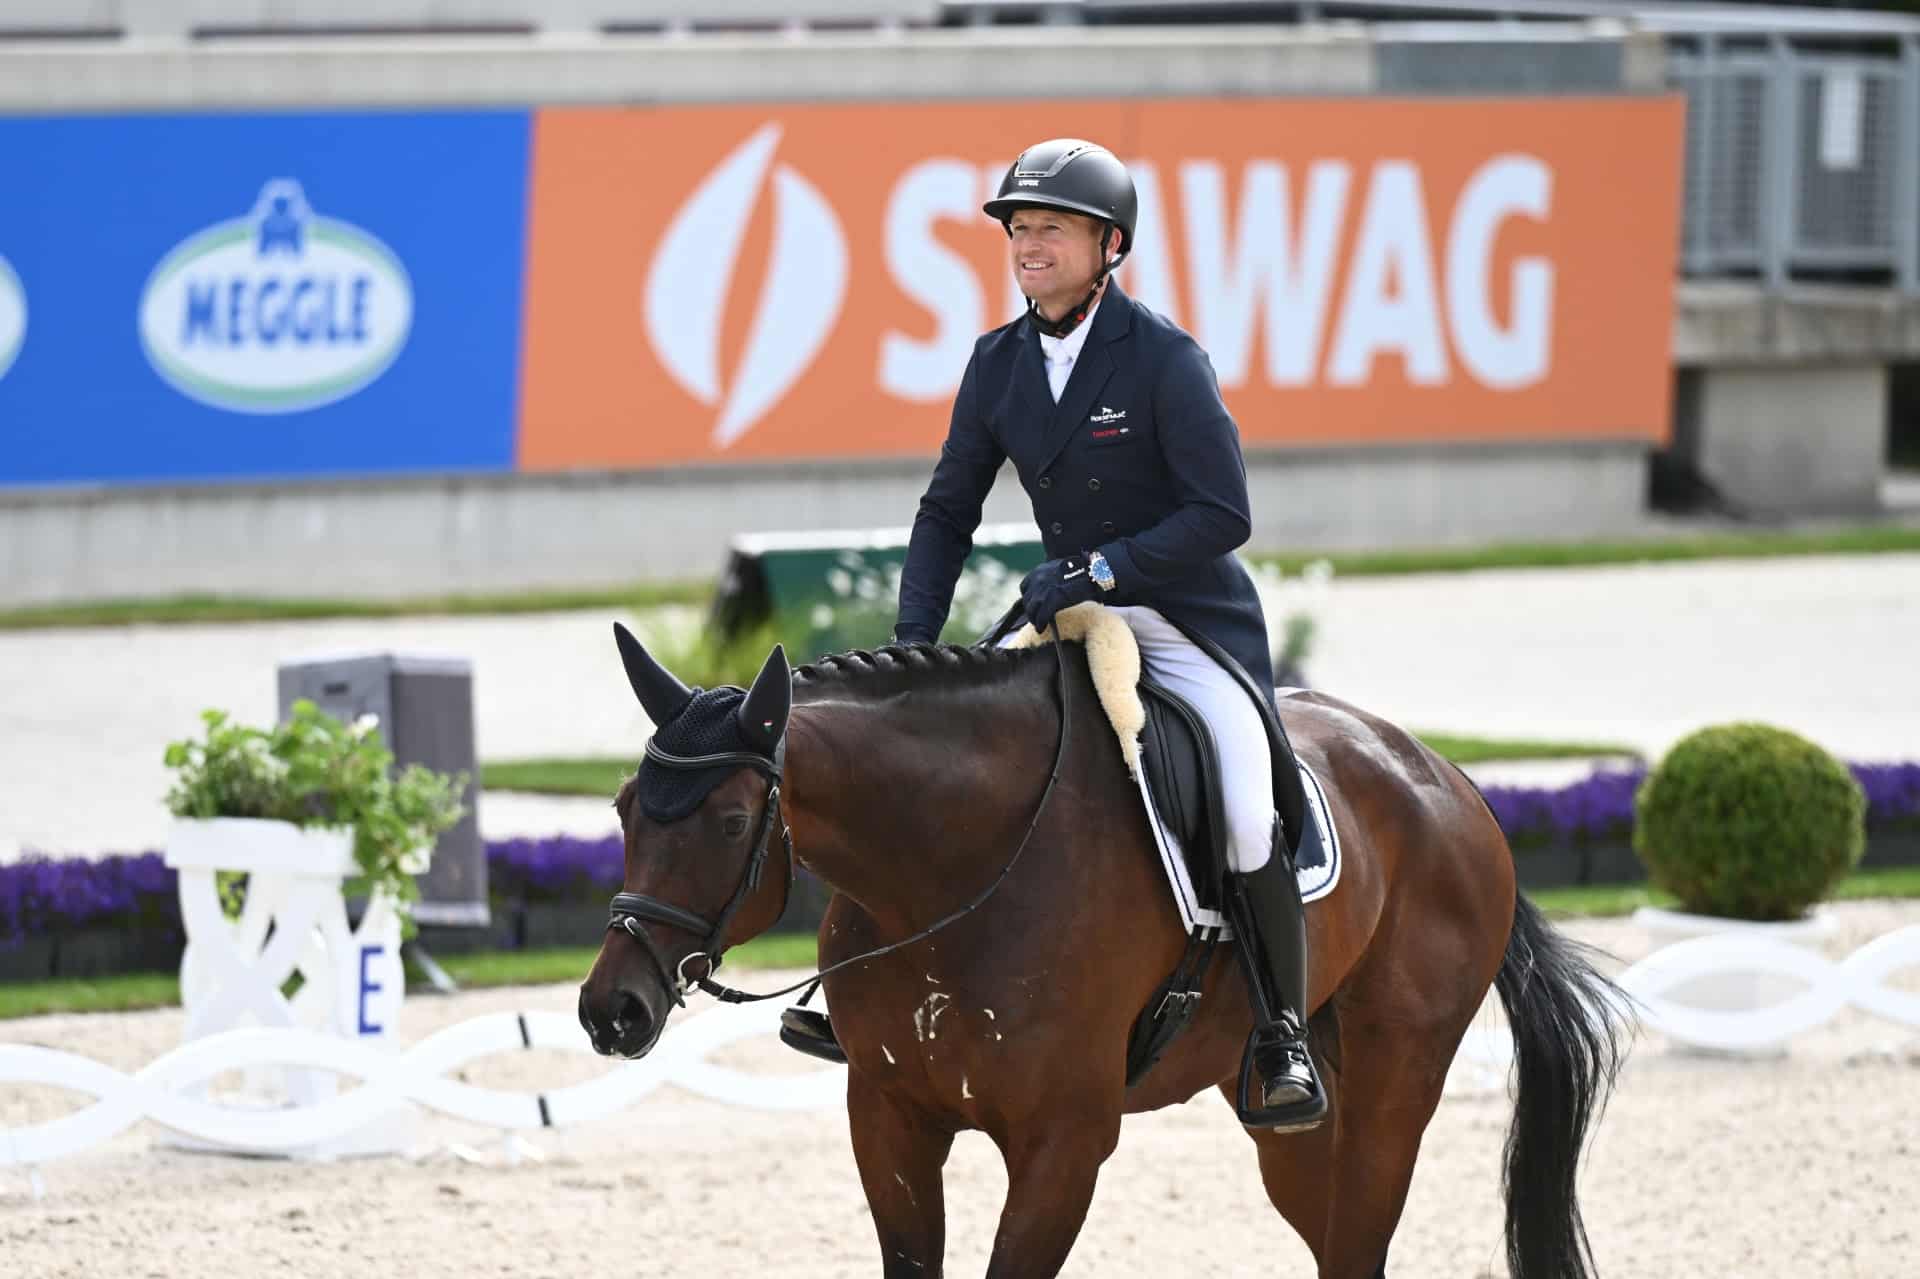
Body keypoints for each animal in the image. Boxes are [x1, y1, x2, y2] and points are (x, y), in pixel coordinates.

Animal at [576, 618, 1628, 1275]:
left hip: (1391, 1089)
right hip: (1289, 1124)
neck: (956, 870)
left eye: (726, 822)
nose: (610, 1009)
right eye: (625, 808)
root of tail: (1453, 784)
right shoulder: (888, 1116)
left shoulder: (1065, 1141)